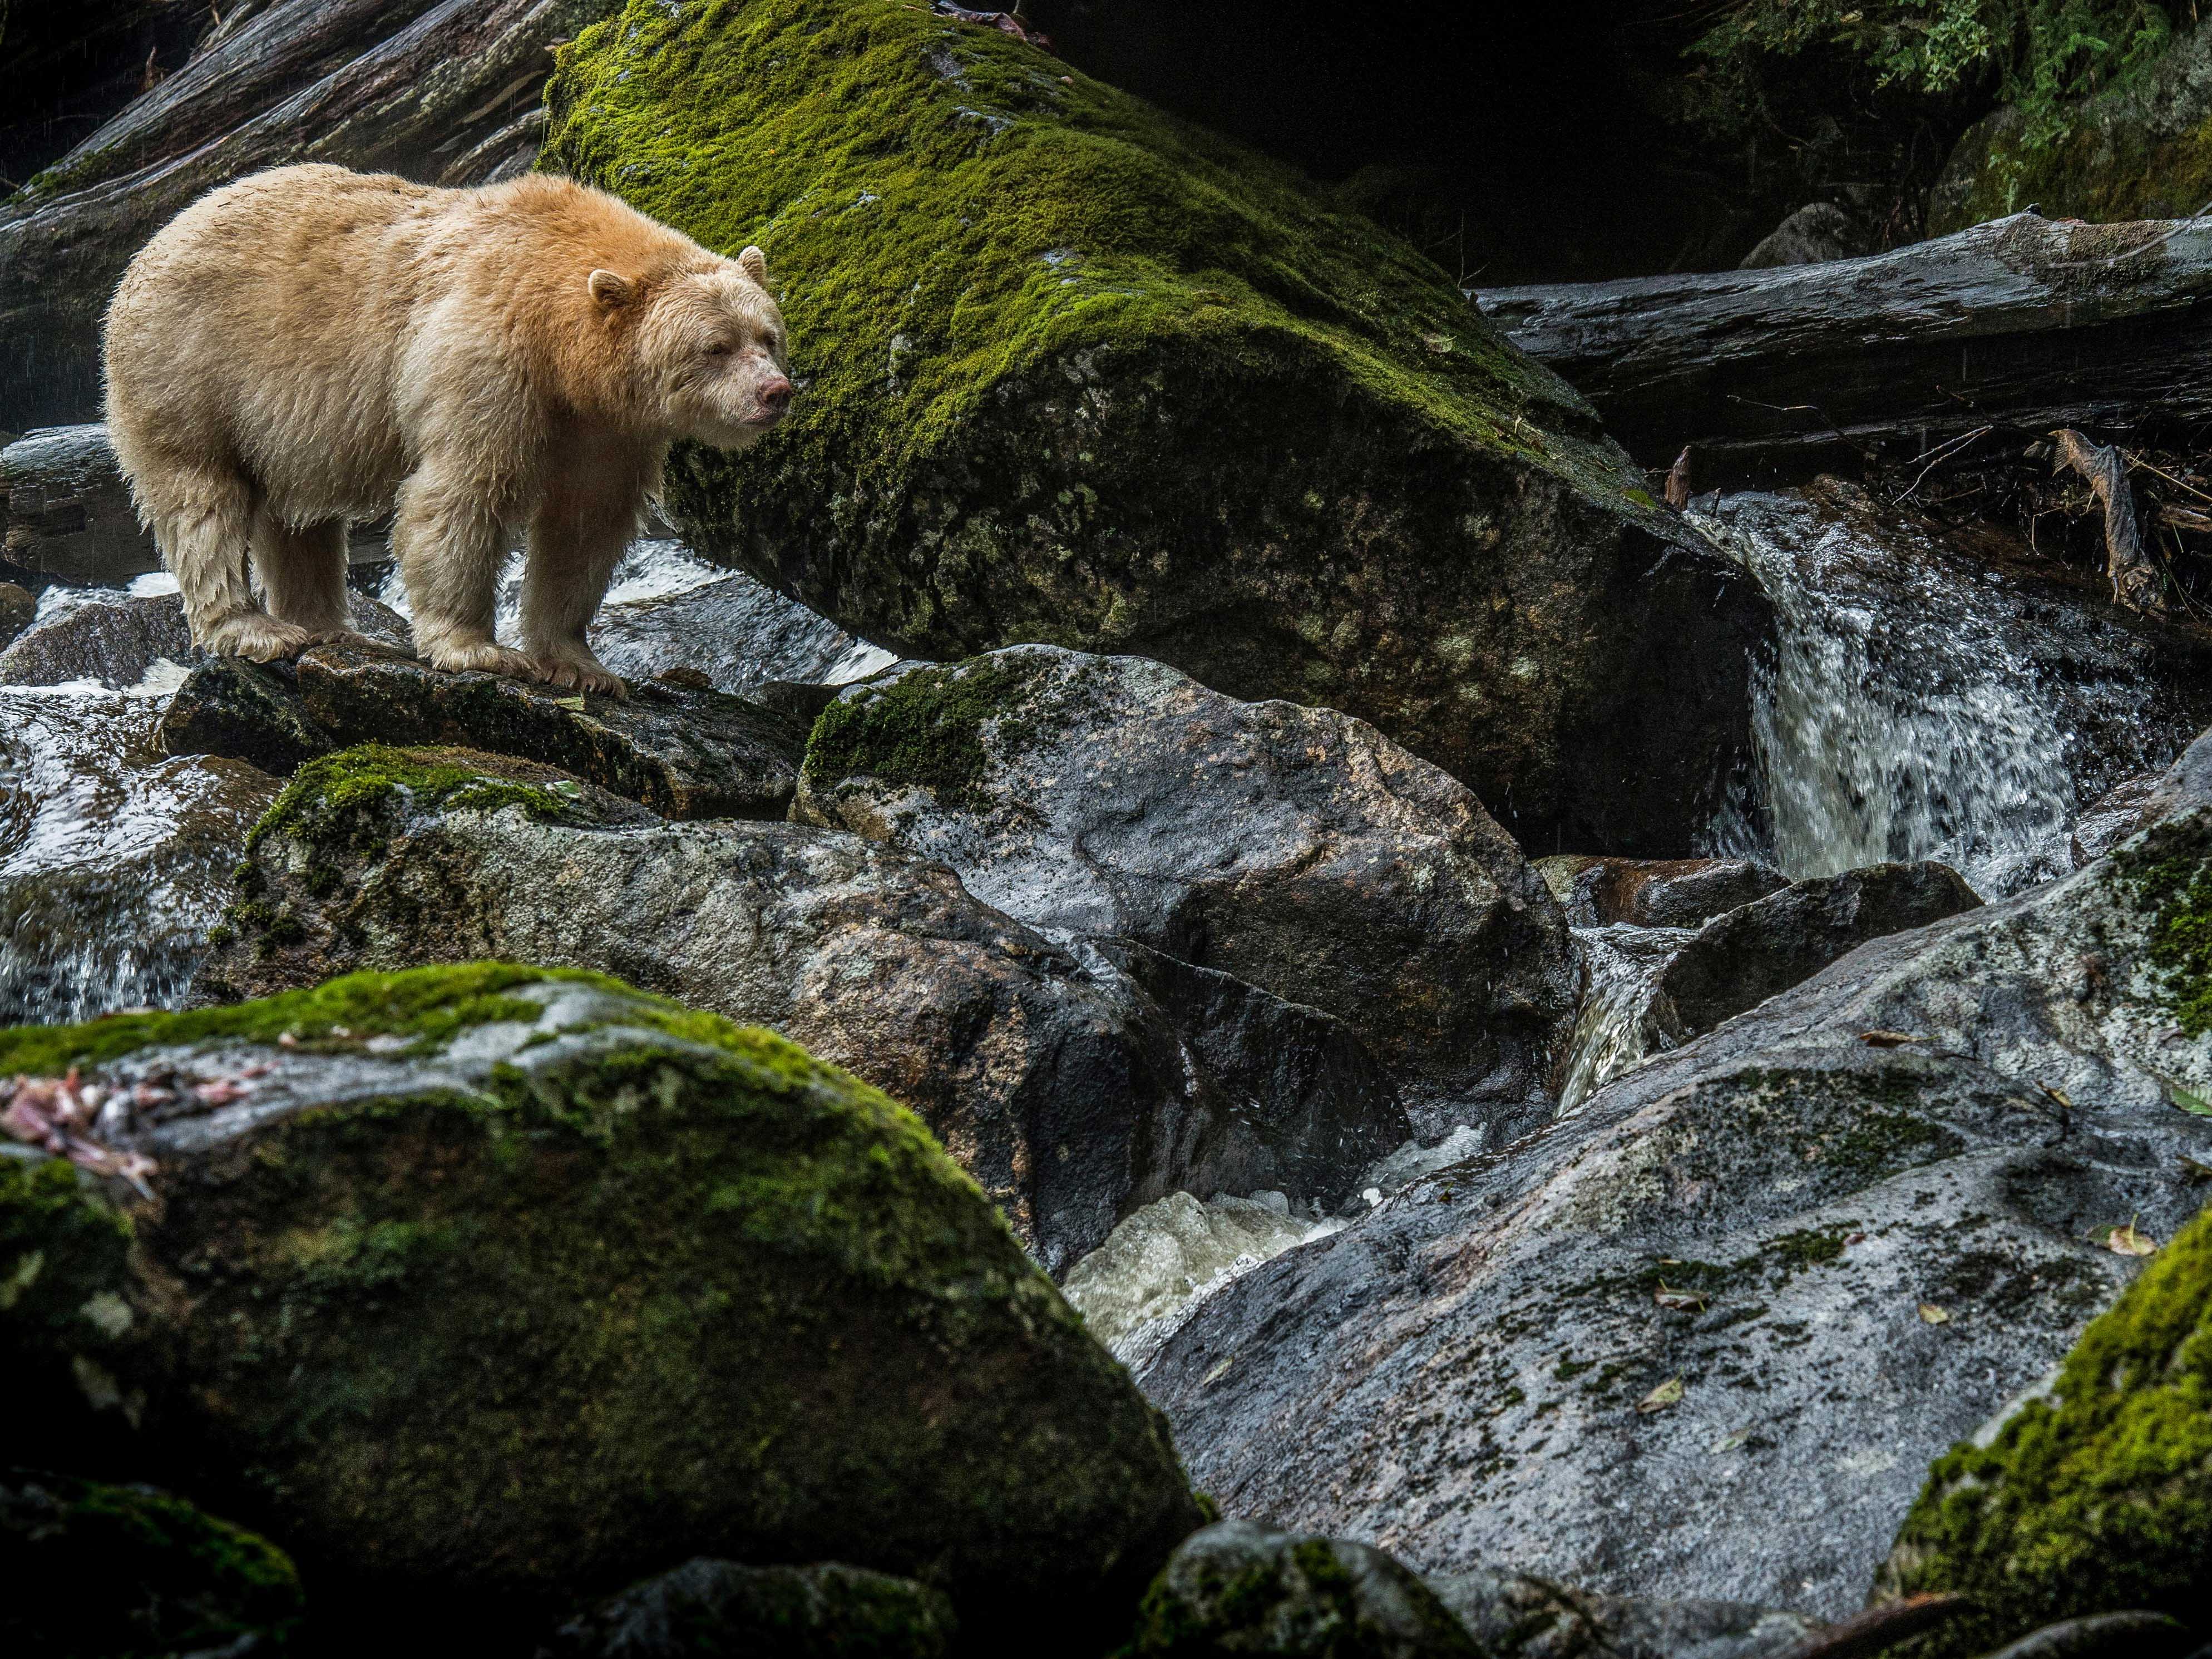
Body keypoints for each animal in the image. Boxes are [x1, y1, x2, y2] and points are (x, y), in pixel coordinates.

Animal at [105, 164, 796, 694]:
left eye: (768, 337)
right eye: (715, 347)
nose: (774, 393)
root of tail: (159, 236)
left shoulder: (606, 426)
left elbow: (584, 527)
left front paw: (581, 666)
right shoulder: (487, 354)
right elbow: (465, 492)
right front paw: (479, 650)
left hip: (284, 420)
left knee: (297, 515)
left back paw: (333, 626)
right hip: (191, 367)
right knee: (203, 499)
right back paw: (255, 629)